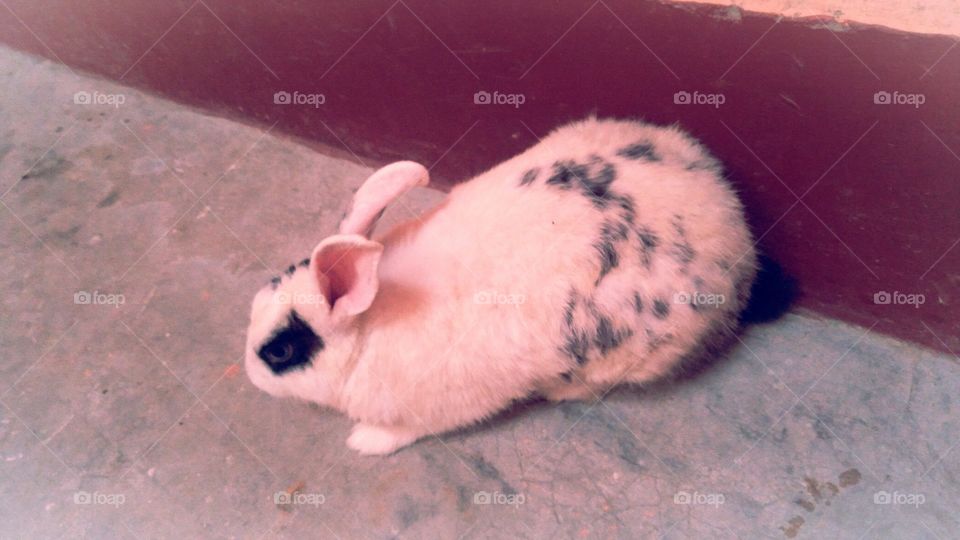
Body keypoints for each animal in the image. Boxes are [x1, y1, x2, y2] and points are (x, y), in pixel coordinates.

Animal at [244, 117, 757, 455]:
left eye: (280, 351)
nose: (249, 374)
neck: (370, 327)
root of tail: (728, 214)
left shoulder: (434, 409)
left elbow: (401, 432)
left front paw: (363, 441)